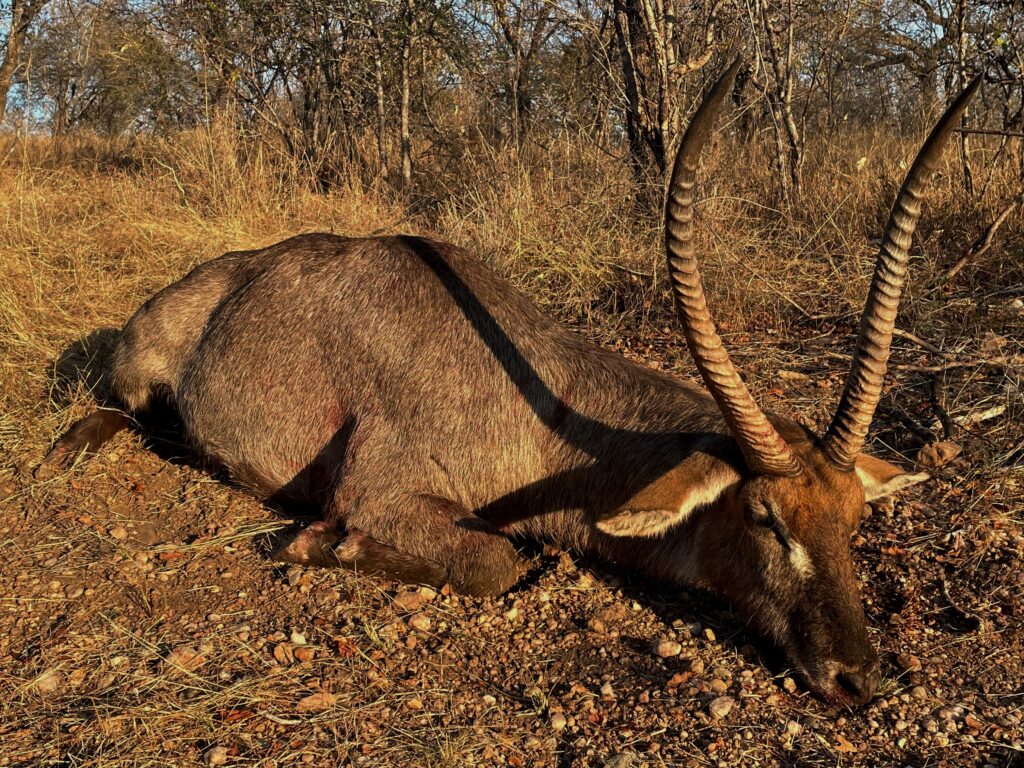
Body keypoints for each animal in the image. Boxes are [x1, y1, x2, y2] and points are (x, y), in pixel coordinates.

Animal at [39, 63, 978, 708]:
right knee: (118, 410)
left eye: (854, 522)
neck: (542, 404)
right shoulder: (379, 491)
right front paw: (321, 547)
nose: (856, 678)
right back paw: (64, 453)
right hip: (136, 370)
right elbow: (498, 563)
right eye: (763, 517)